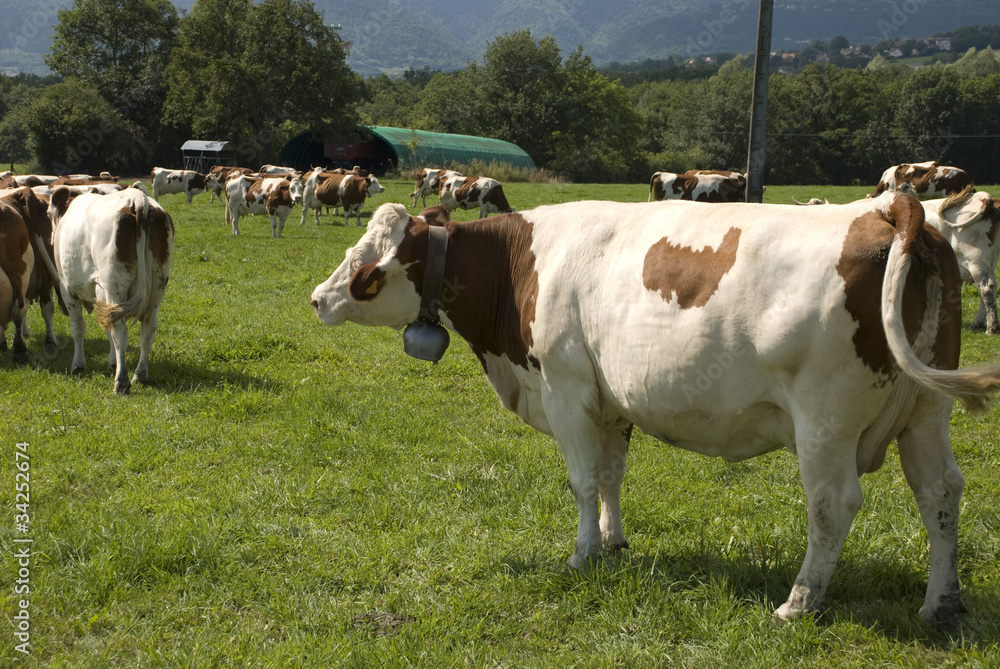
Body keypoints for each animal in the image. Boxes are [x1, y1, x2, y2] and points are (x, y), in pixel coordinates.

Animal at [48, 185, 174, 394]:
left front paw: (78, 364)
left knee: (120, 330)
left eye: (49, 213)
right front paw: (112, 362)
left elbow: (78, 328)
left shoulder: (67, 290)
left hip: (116, 284)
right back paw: (140, 375)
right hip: (158, 286)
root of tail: (137, 199)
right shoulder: (102, 294)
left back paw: (121, 382)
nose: (51, 239)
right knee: (147, 328)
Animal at [920, 185, 1000, 334]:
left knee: (986, 289)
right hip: (990, 263)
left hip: (976, 261)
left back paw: (991, 327)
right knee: (989, 288)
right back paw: (977, 324)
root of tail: (984, 197)